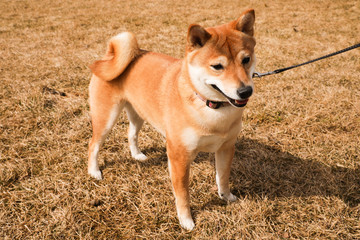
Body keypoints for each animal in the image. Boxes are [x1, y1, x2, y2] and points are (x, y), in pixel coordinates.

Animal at [87, 8, 256, 231]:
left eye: (246, 60)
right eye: (217, 66)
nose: (245, 91)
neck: (212, 108)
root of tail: (111, 55)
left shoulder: (226, 147)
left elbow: (223, 177)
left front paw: (226, 196)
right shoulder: (179, 157)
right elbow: (182, 194)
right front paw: (186, 220)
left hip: (139, 113)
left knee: (131, 134)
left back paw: (137, 155)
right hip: (106, 118)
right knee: (93, 144)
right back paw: (94, 171)